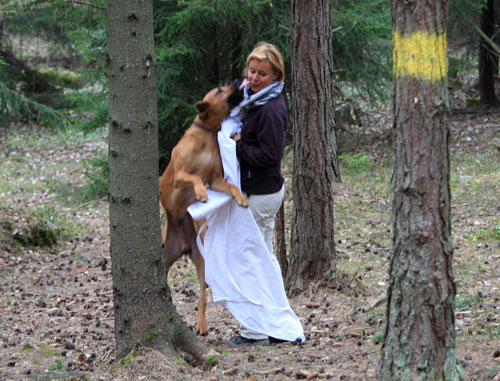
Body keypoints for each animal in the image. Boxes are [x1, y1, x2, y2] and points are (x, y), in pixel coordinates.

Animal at [160, 79, 248, 332]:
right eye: (219, 90)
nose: (237, 80)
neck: (208, 134)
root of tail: (182, 245)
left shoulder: (216, 179)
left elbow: (231, 186)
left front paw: (241, 198)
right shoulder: (179, 174)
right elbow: (194, 177)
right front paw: (200, 193)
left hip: (201, 262)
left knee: (201, 294)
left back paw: (201, 324)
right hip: (165, 254)